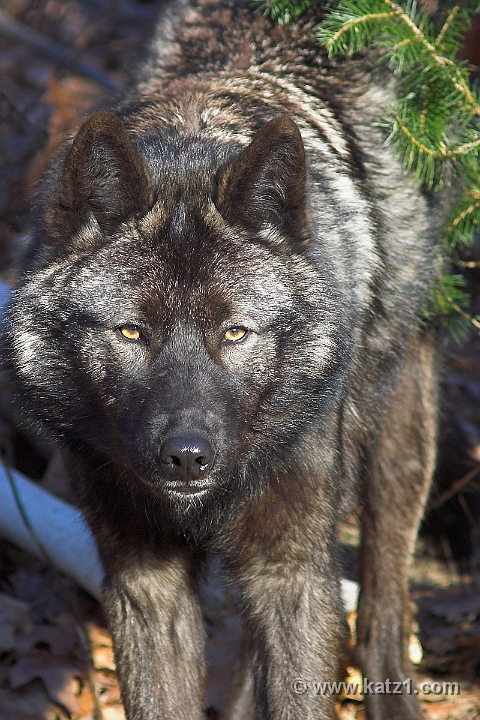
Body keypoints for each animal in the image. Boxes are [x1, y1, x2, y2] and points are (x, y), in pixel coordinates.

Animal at [5, 0, 440, 718]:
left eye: (235, 333)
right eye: (132, 332)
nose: (187, 457)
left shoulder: (293, 573)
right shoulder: (143, 580)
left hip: (397, 432)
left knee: (383, 603)